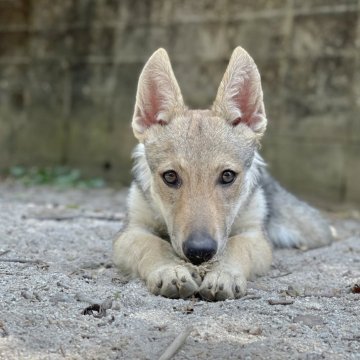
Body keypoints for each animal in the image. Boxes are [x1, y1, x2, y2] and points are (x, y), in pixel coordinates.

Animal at [112, 47, 332, 300]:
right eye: (170, 177)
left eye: (227, 176)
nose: (199, 252)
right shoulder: (130, 231)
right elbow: (154, 245)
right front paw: (170, 270)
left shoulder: (255, 235)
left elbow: (236, 247)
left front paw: (223, 275)